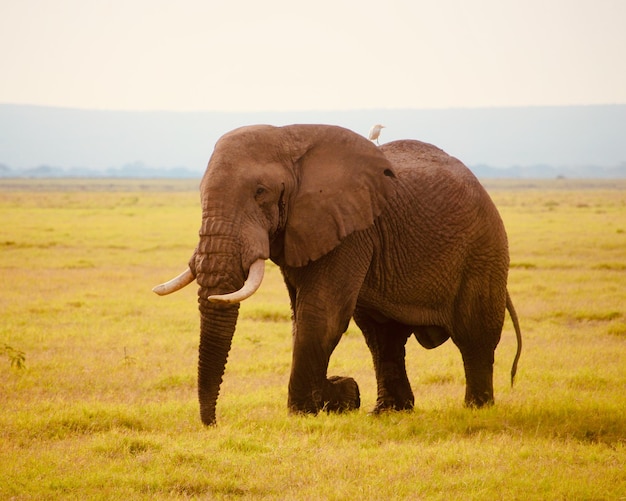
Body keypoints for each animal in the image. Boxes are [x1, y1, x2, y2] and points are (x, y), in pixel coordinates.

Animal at [152, 123, 520, 424]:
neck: (289, 138)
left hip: (484, 250)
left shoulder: (352, 227)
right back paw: (387, 412)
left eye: (260, 192)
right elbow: (303, 315)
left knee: (475, 335)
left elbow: (321, 314)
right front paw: (337, 396)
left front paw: (307, 409)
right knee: (381, 336)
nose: (212, 424)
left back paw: (476, 409)